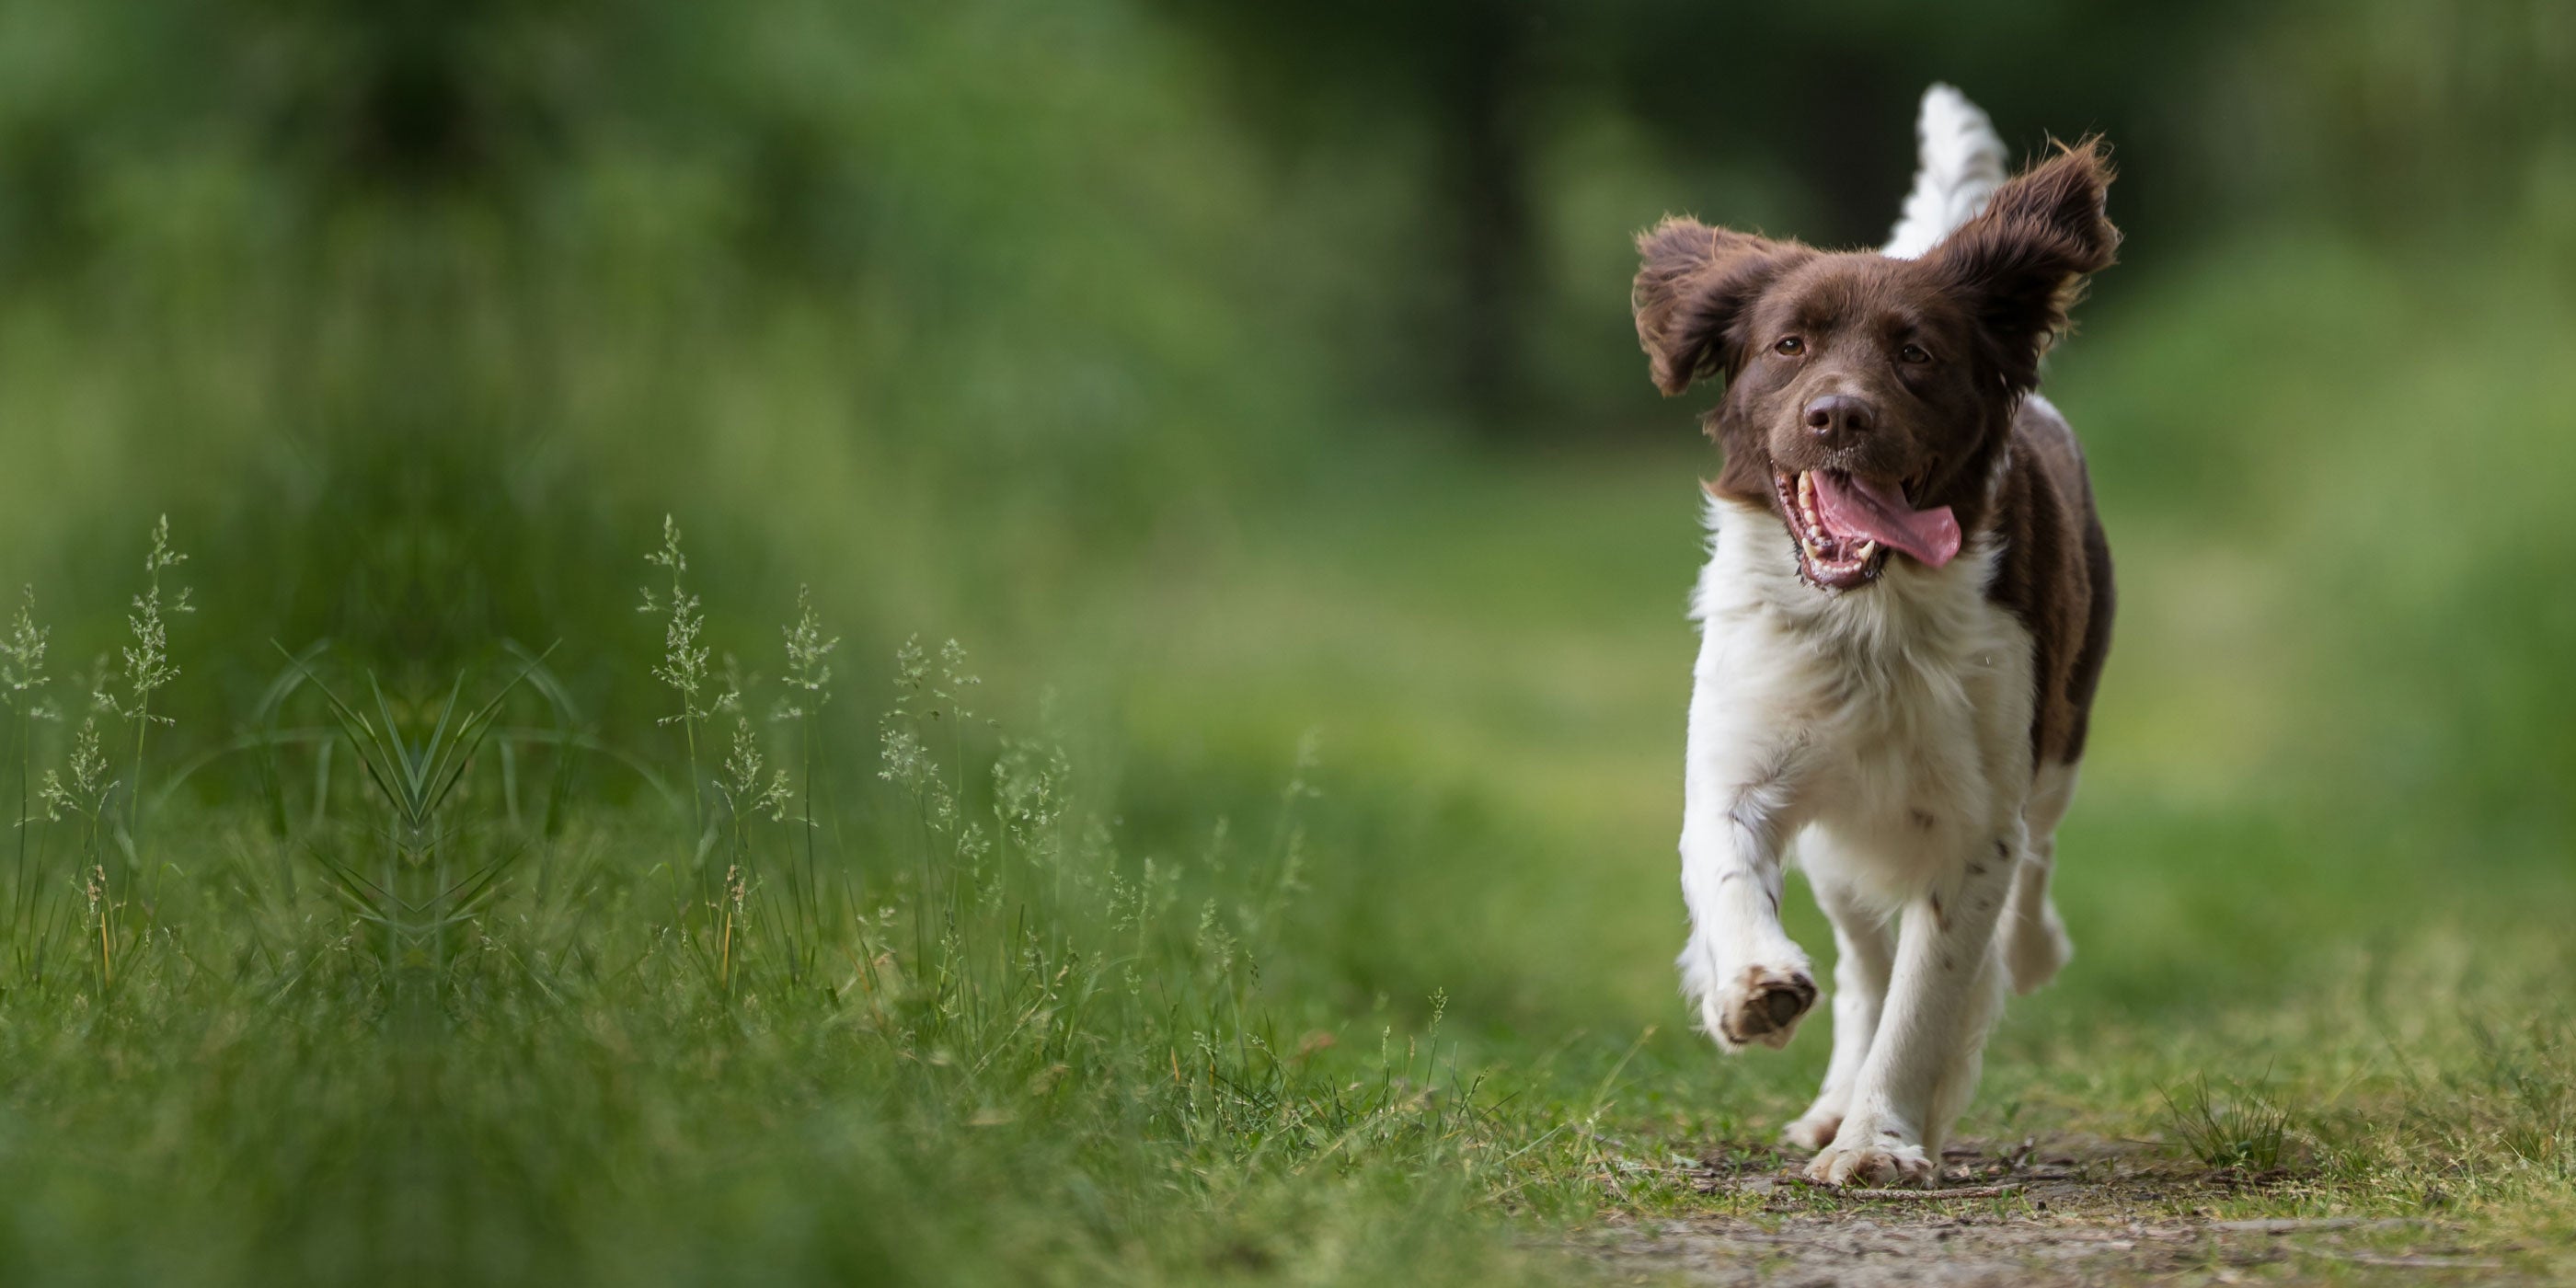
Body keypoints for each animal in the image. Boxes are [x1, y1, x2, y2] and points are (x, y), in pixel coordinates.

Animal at [1627, 83, 2112, 1185]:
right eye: (1789, 346)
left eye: (1916, 353)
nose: (1839, 417)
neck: (1866, 618)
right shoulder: (1743, 763)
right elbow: (1730, 872)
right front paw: (1754, 987)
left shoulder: (1976, 822)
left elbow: (1930, 997)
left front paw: (1881, 1138)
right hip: (1843, 846)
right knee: (1862, 960)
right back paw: (1825, 1094)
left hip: (2056, 748)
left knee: (2028, 881)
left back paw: (2026, 956)